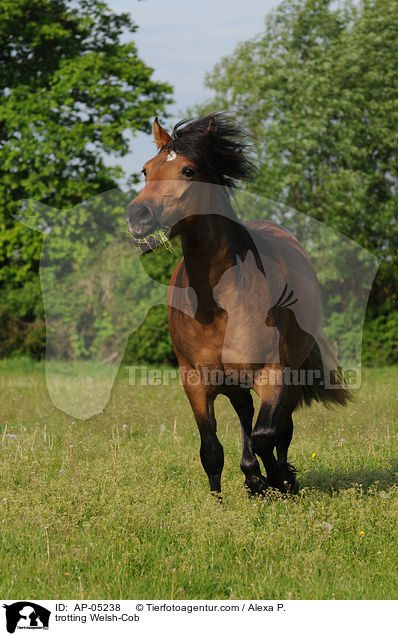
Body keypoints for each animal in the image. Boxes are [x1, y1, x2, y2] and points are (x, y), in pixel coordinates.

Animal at [125, 113, 352, 496]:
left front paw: (281, 480)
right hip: (233, 380)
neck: (215, 303)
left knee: (280, 428)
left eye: (188, 170)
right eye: (146, 169)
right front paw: (225, 497)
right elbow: (211, 450)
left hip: (290, 374)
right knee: (246, 415)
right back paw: (252, 476)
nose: (137, 215)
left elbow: (266, 435)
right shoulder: (195, 380)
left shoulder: (274, 373)